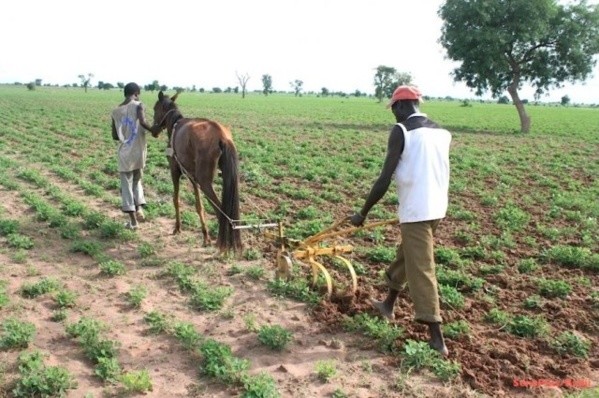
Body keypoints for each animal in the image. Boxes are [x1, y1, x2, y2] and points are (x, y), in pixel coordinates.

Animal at [151, 91, 243, 252]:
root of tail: (221, 135)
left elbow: (176, 200)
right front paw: (205, 236)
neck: (175, 124)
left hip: (205, 182)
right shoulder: (193, 177)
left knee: (221, 211)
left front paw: (177, 228)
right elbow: (199, 206)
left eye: (155, 108)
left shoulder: (175, 170)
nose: (153, 131)